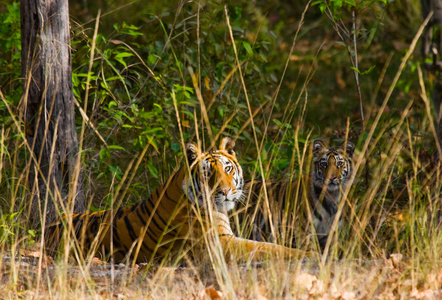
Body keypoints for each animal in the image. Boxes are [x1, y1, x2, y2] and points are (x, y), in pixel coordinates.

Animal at [45, 137, 312, 264]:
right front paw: (309, 254)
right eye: (208, 174)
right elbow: (269, 248)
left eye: (227, 168)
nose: (226, 191)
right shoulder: (220, 245)